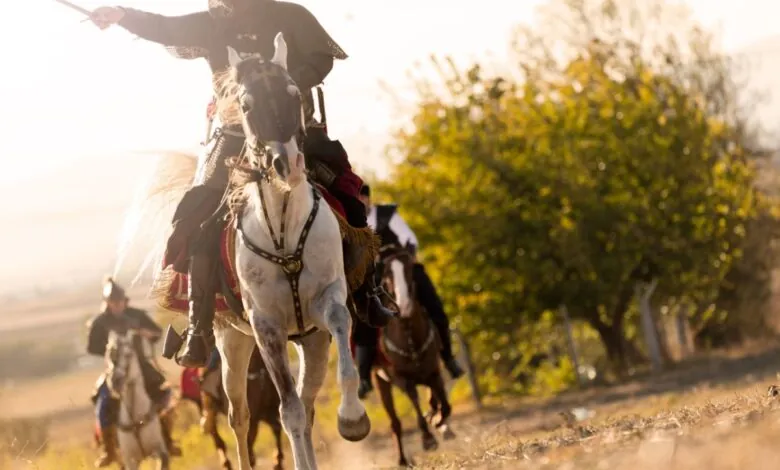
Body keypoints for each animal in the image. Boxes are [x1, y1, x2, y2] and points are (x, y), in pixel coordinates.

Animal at [106, 330, 170, 470]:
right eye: (109, 354)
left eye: (128, 354)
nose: (115, 382)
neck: (134, 418)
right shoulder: (130, 461)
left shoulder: (160, 451)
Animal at [374, 244, 454, 464]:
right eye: (387, 279)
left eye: (411, 272)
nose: (404, 305)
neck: (410, 338)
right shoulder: (402, 378)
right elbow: (415, 400)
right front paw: (428, 439)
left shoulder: (433, 370)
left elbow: (443, 403)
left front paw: (437, 420)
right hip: (380, 381)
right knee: (395, 422)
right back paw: (402, 459)